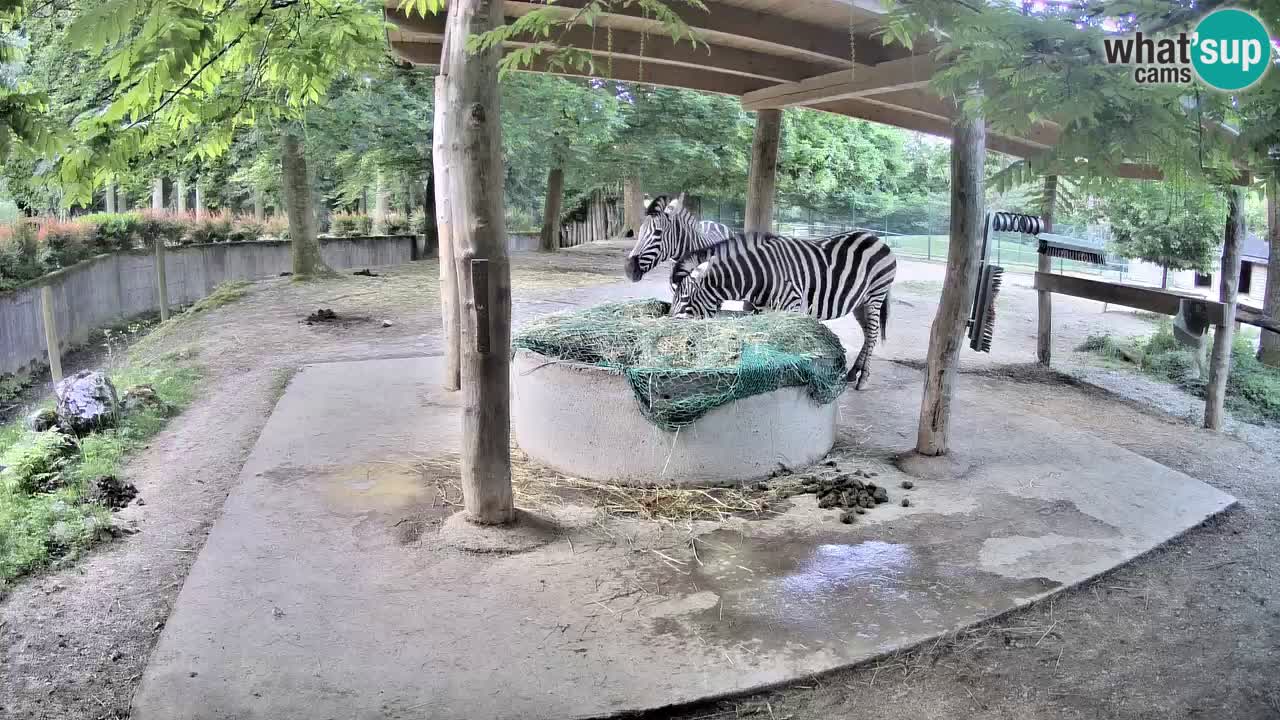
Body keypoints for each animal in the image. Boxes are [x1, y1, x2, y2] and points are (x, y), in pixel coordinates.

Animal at [671, 230, 896, 389]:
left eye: (685, 299)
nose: (675, 341)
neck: (761, 275)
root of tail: (876, 238)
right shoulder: (764, 311)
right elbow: (762, 340)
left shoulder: (791, 307)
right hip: (859, 302)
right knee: (867, 334)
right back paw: (853, 372)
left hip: (875, 295)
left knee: (873, 333)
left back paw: (863, 378)